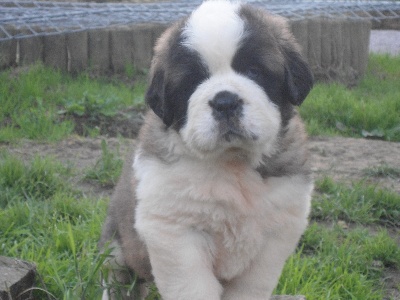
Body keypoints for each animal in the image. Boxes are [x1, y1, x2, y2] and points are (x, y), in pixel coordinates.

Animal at [99, 1, 312, 298]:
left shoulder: (275, 236)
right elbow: (192, 286)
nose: (225, 102)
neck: (233, 163)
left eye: (254, 71)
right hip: (117, 251)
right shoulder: (175, 232)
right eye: (192, 81)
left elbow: (251, 286)